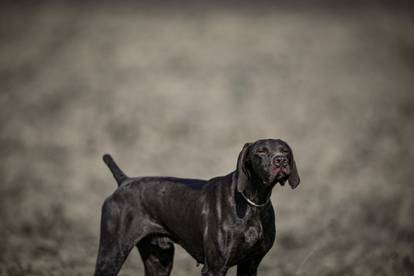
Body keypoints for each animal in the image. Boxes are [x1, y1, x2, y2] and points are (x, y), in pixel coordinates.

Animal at [95, 139, 300, 274]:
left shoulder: (250, 264)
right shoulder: (215, 267)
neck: (253, 203)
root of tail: (124, 181)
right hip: (111, 253)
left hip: (159, 260)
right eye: (261, 152)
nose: (281, 160)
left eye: (285, 151)